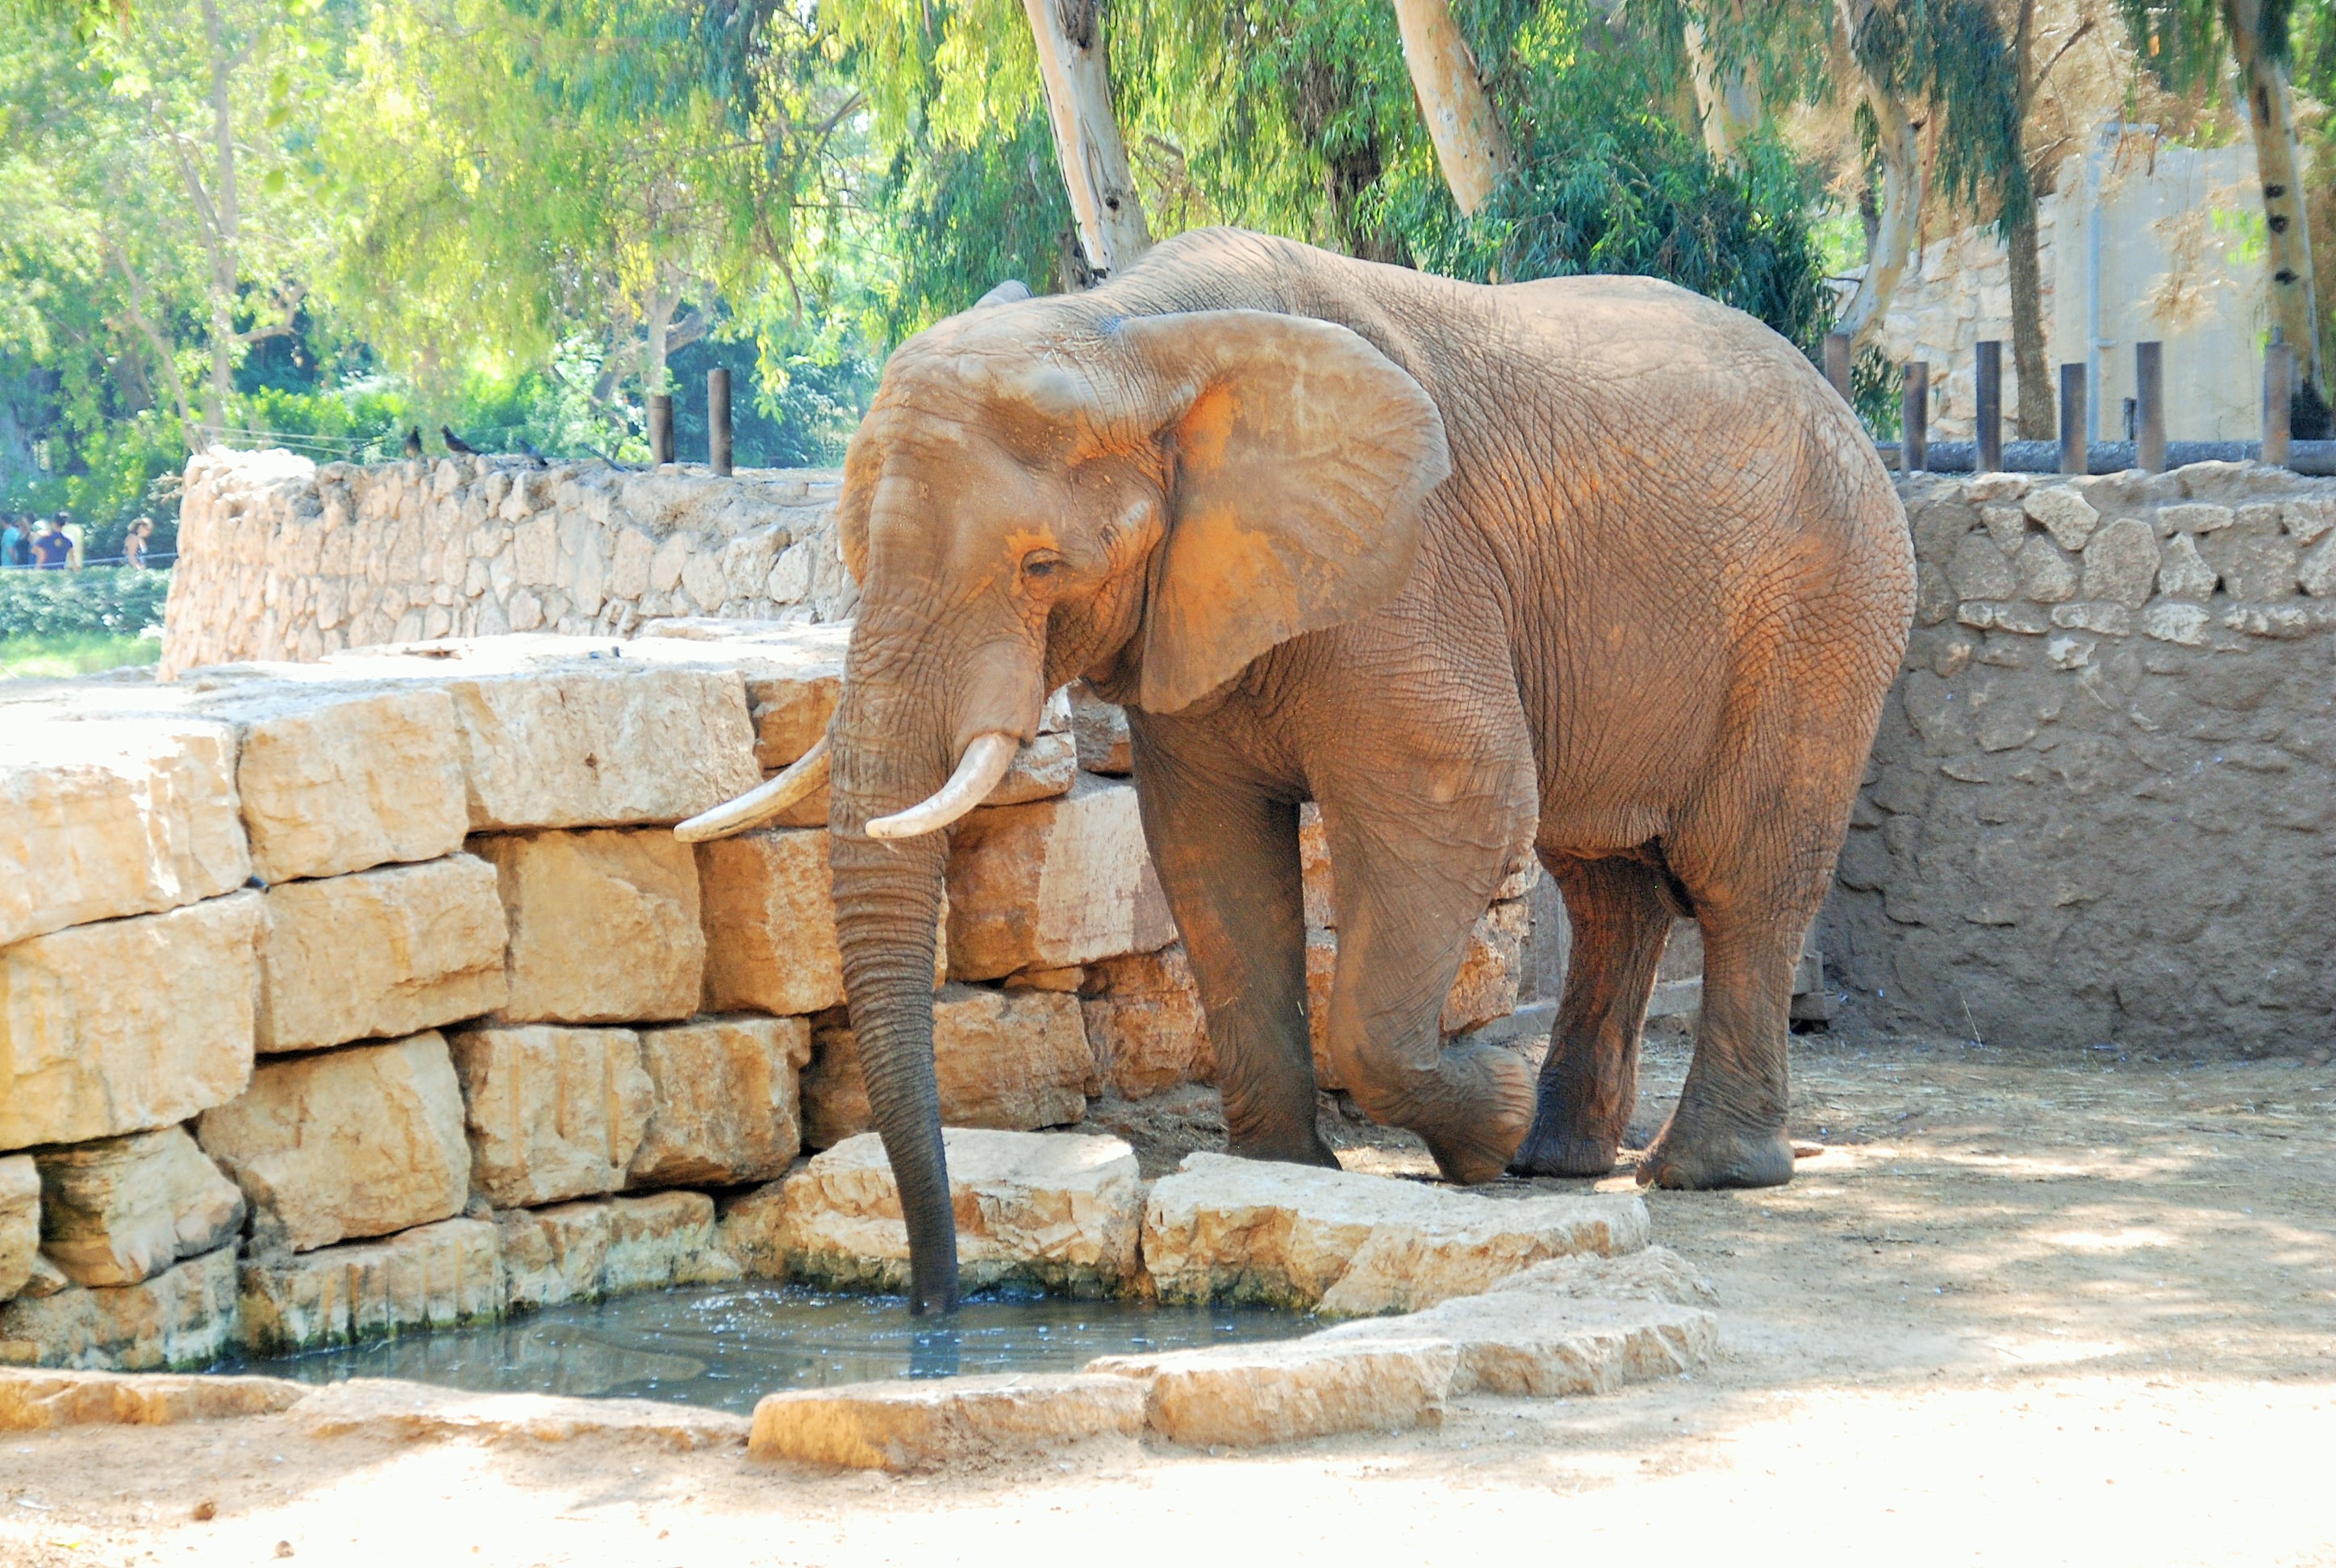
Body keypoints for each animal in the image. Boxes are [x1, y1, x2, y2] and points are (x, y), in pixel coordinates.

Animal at [682, 230, 1915, 1308]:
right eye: (851, 549)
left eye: (1040, 567)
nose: (935, 1305)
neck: (1136, 334)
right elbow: (1207, 846)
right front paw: (1283, 1175)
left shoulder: (1413, 560)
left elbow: (1466, 792)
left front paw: (1483, 1118)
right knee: (1609, 883)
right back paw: (1559, 1159)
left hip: (1824, 612)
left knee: (1741, 875)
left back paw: (1697, 1169)